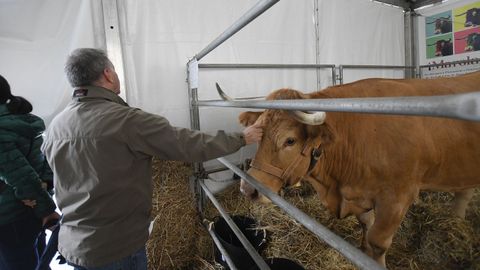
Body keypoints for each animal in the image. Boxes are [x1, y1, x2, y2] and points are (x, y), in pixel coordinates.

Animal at [236, 71, 480, 268]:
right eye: (259, 133)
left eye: (290, 141)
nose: (248, 189)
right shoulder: (360, 195)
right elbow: (365, 225)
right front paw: (362, 251)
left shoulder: (397, 198)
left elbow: (377, 242)